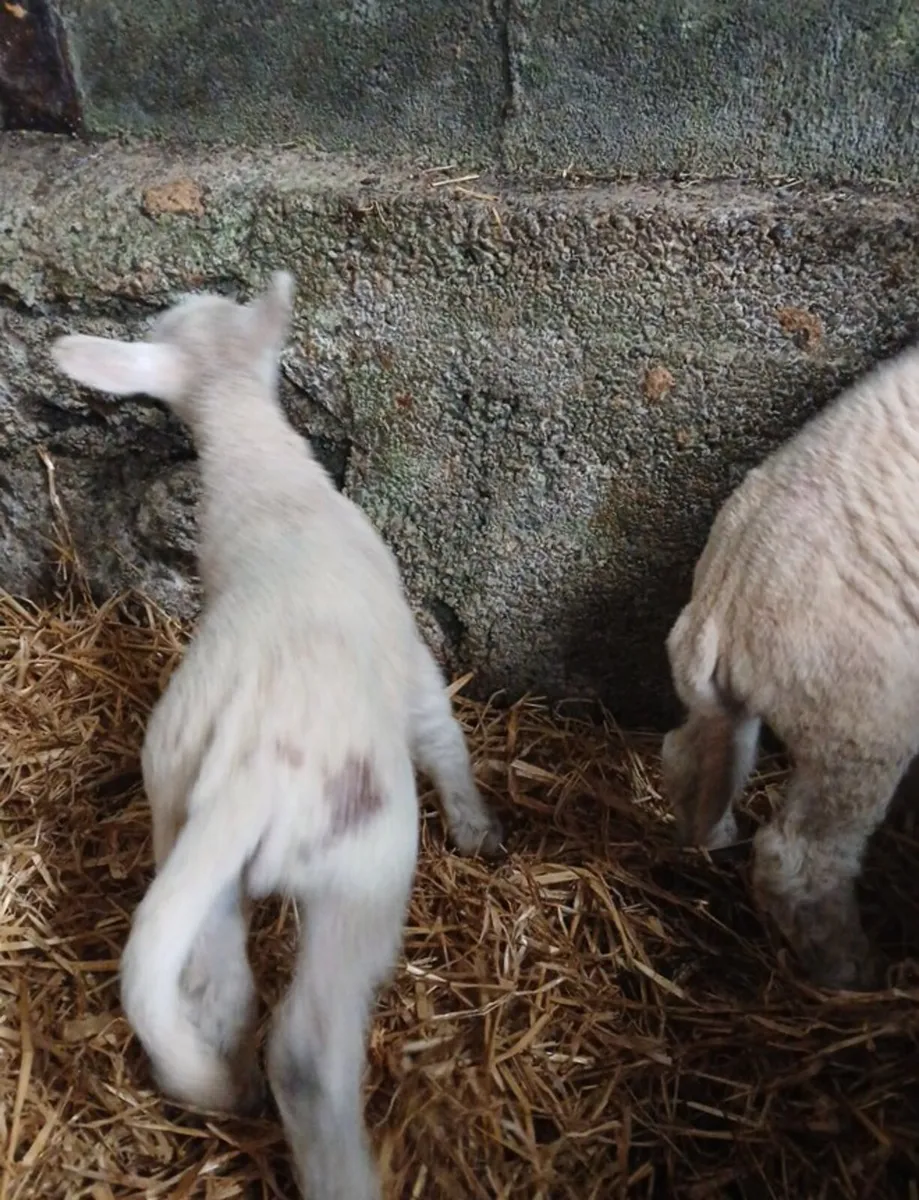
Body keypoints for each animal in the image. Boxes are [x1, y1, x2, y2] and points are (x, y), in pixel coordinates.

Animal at [50, 271, 503, 1200]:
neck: (262, 479)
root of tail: (246, 776)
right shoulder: (411, 654)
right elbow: (441, 732)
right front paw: (480, 829)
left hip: (187, 838)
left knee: (217, 992)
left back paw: (228, 1084)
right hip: (361, 865)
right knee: (306, 1044)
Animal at [661, 341, 919, 992]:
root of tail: (720, 601)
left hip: (732, 700)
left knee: (689, 754)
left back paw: (709, 837)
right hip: (863, 718)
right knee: (797, 858)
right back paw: (849, 970)